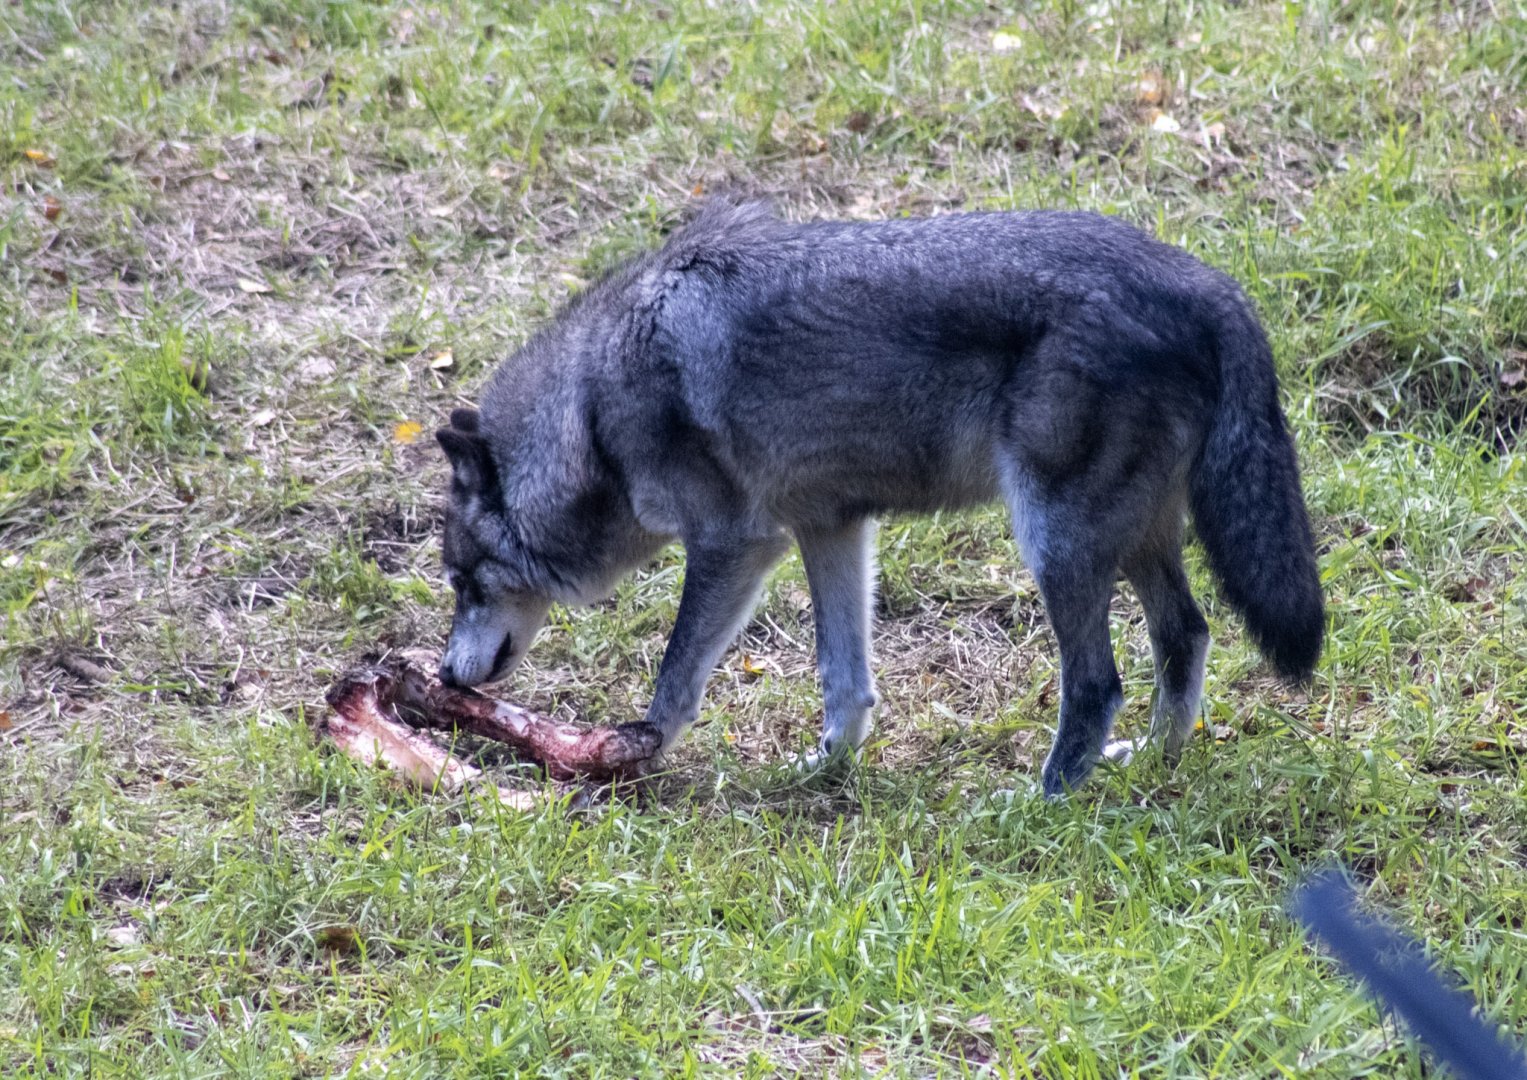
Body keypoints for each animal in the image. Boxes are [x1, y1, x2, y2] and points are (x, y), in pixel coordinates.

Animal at [434, 201, 1323, 797]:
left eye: (460, 582)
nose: (443, 675)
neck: (592, 410)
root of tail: (1206, 283)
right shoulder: (829, 529)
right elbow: (844, 679)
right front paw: (822, 769)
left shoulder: (736, 543)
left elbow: (675, 676)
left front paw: (634, 754)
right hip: (1135, 542)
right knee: (1186, 636)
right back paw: (1153, 764)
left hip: (1055, 545)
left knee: (1098, 683)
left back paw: (1041, 800)